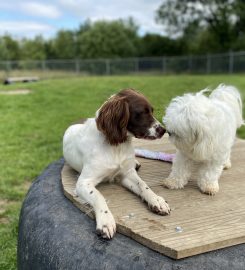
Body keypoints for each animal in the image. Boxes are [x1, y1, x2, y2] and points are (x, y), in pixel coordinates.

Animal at [63, 88, 170, 238]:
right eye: (141, 113)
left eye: (152, 111)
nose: (163, 130)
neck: (116, 145)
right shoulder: (83, 182)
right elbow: (98, 196)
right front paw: (106, 221)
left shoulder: (126, 174)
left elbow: (143, 185)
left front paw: (157, 200)